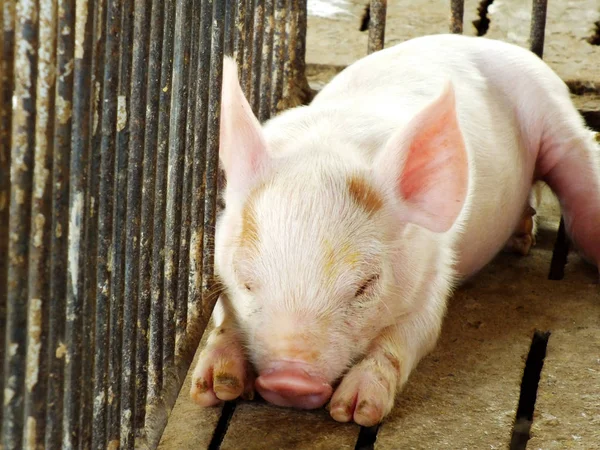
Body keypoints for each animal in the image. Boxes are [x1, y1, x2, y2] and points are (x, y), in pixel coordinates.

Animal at [191, 34, 600, 426]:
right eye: (246, 281)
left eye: (364, 286)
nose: (289, 382)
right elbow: (223, 316)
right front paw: (216, 387)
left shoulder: (437, 267)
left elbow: (411, 333)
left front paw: (355, 410)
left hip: (554, 112)